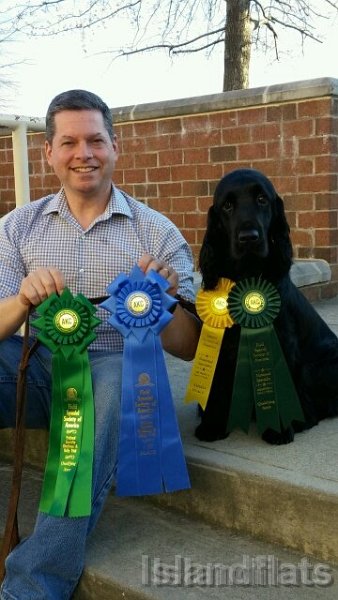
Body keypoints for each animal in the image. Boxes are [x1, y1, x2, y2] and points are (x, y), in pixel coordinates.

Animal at [195, 169, 338, 446]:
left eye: (262, 199)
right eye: (227, 205)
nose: (249, 238)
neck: (247, 276)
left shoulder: (281, 341)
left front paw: (278, 429)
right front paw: (212, 425)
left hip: (322, 364)